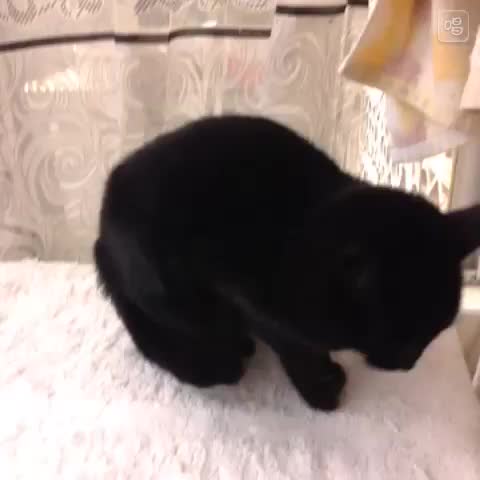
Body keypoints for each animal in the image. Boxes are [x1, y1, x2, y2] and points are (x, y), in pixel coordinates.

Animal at [94, 115, 480, 411]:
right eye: (404, 339)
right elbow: (295, 347)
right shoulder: (250, 299)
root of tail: (102, 233)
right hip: (167, 285)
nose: (408, 365)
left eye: (432, 335)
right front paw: (320, 388)